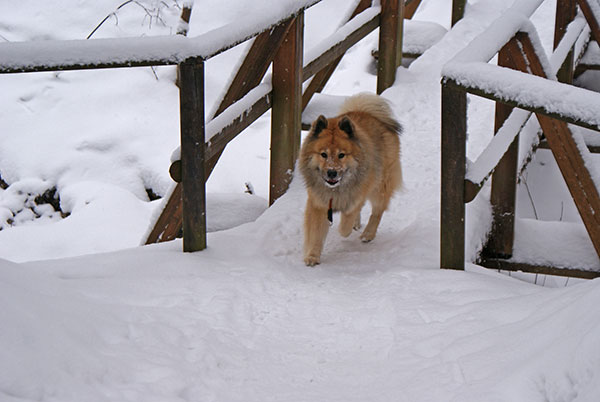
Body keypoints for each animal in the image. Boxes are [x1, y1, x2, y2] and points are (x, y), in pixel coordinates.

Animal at [300, 92, 404, 266]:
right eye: (323, 154)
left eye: (341, 155)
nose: (332, 172)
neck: (336, 190)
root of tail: (371, 114)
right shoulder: (318, 204)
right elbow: (315, 233)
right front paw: (312, 256)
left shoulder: (356, 196)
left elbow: (347, 220)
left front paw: (344, 229)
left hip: (380, 186)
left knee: (377, 211)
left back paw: (368, 234)